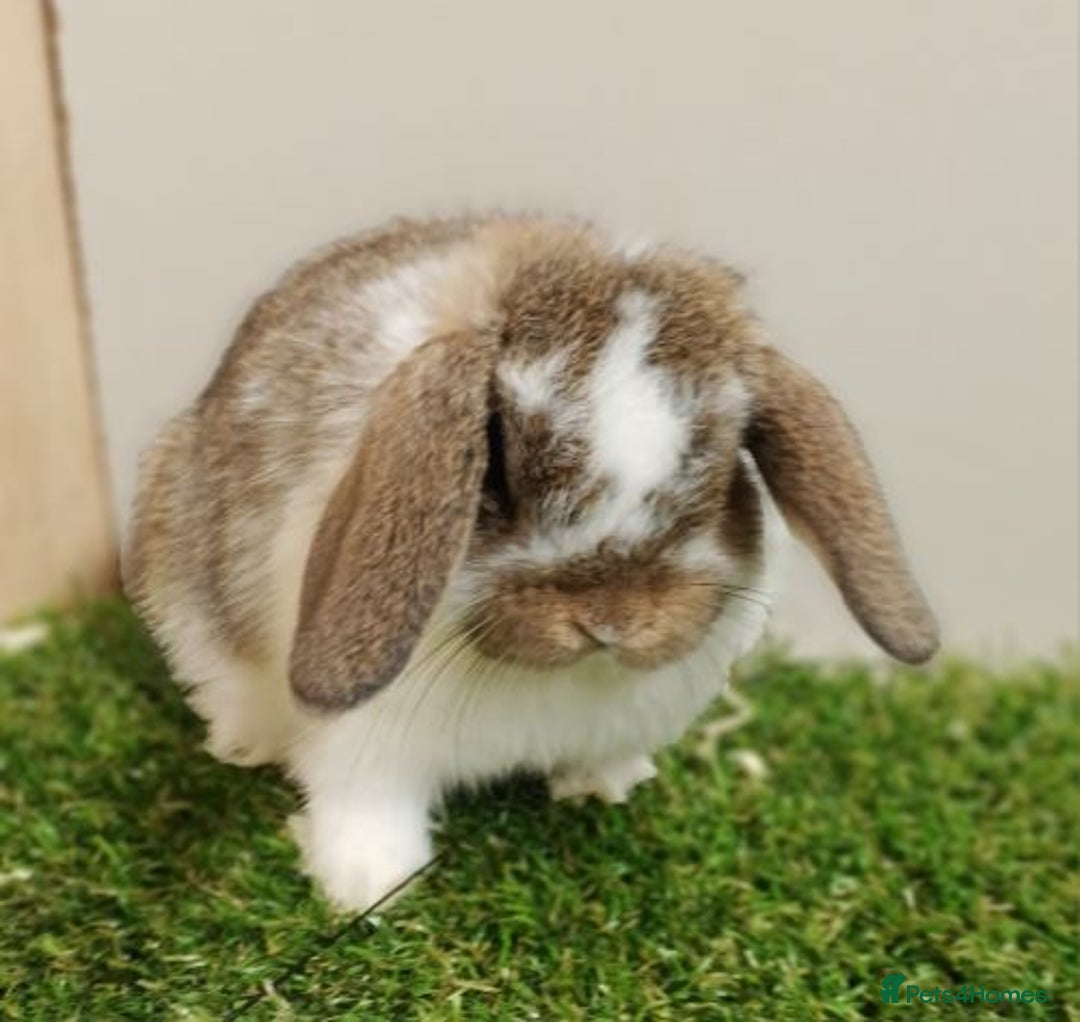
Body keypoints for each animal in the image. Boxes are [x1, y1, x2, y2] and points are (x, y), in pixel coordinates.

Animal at [126, 214, 938, 911]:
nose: (611, 620)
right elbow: (363, 805)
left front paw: (605, 786)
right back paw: (244, 743)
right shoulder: (362, 745)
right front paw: (367, 888)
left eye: (717, 471)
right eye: (498, 472)